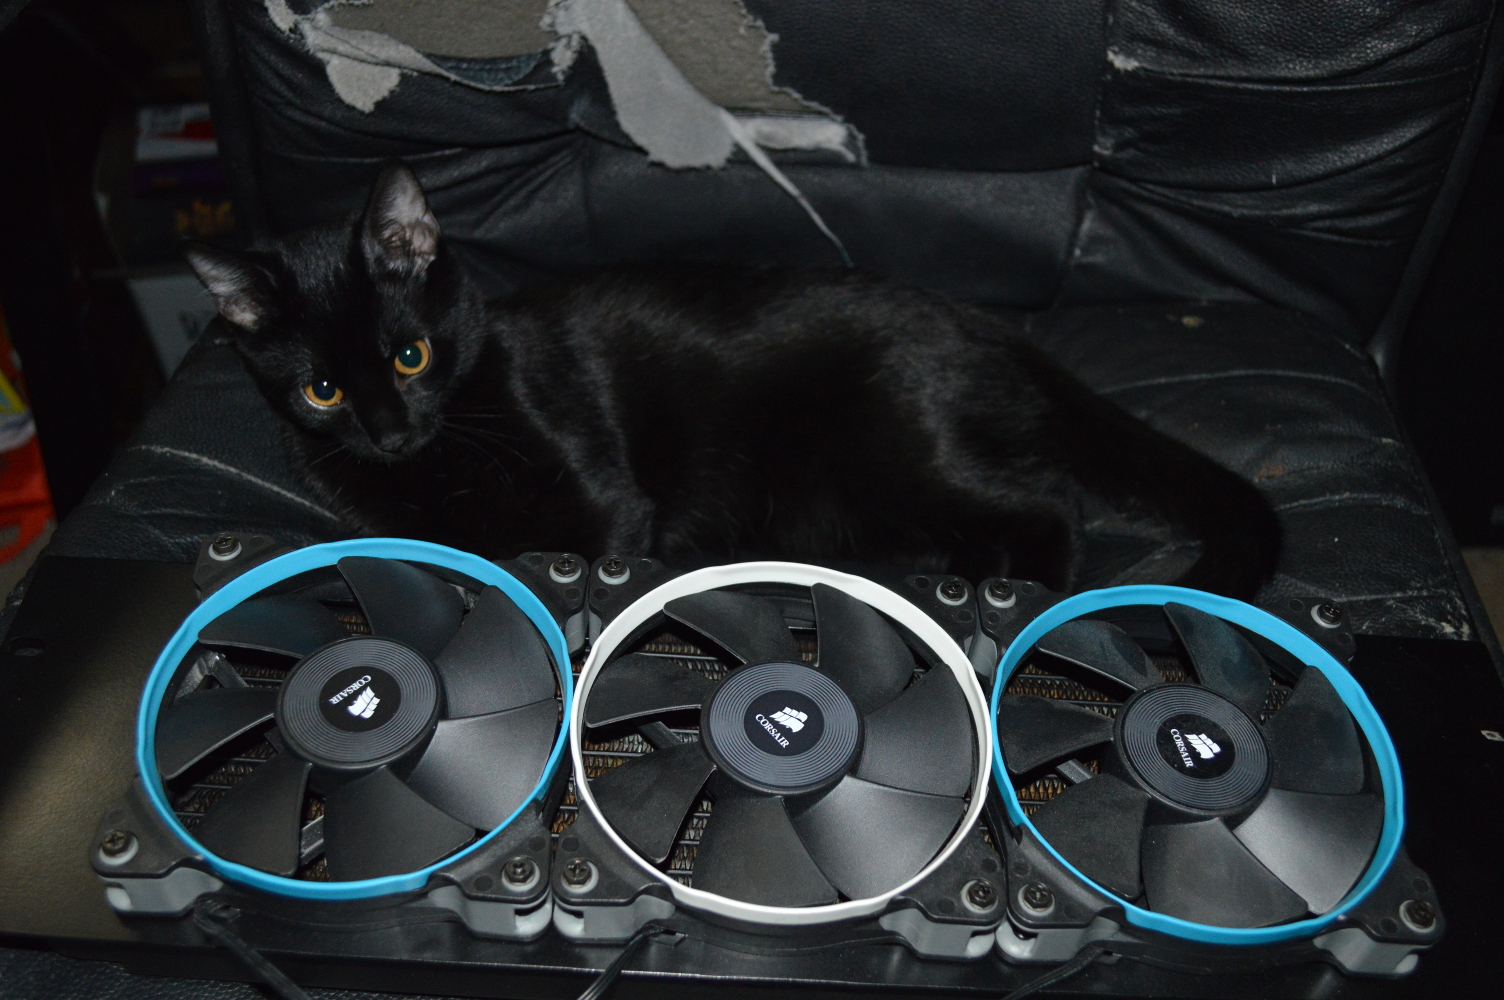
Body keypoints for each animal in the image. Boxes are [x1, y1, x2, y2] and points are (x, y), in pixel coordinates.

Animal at [187, 162, 1280, 596]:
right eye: (323, 390)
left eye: (409, 355)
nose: (387, 430)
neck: (444, 447)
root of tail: (986, 329)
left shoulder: (605, 494)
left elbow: (588, 560)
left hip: (897, 451)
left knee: (1052, 505)